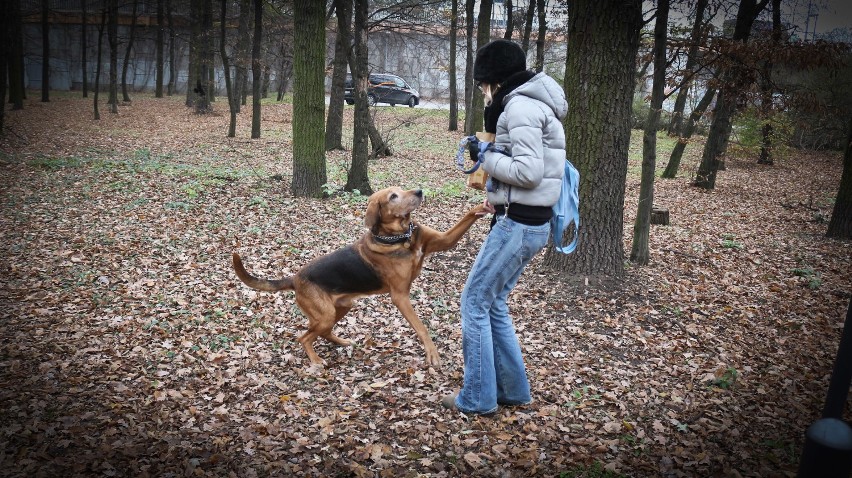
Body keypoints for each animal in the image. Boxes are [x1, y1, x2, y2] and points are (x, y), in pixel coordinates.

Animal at [233, 187, 486, 366]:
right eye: (393, 196)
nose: (419, 191)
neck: (401, 237)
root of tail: (295, 278)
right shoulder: (400, 296)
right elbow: (421, 327)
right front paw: (432, 353)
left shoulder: (444, 240)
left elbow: (467, 216)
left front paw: (483, 205)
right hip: (326, 313)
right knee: (304, 337)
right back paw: (315, 360)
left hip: (341, 307)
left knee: (320, 332)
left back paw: (341, 341)